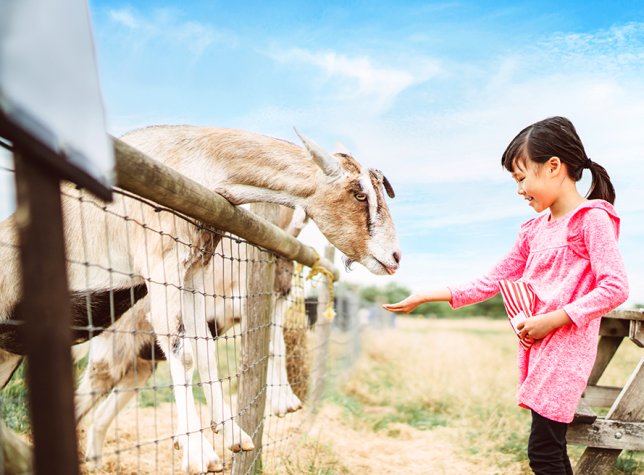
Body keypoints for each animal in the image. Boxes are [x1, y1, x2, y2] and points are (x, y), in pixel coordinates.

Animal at [1, 125, 402, 472]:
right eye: (360, 194)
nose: (395, 257)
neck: (194, 161)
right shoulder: (163, 266)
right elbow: (192, 352)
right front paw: (200, 452)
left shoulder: (196, 272)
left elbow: (209, 350)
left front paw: (235, 434)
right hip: (108, 355)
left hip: (115, 364)